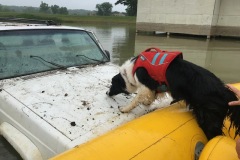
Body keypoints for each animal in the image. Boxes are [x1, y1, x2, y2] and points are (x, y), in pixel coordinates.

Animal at [107, 47, 240, 139]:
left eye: (112, 83)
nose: (107, 93)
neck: (130, 70)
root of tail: (225, 91)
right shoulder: (155, 88)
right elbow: (151, 96)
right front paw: (147, 103)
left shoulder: (146, 84)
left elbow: (136, 98)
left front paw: (125, 108)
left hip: (209, 119)